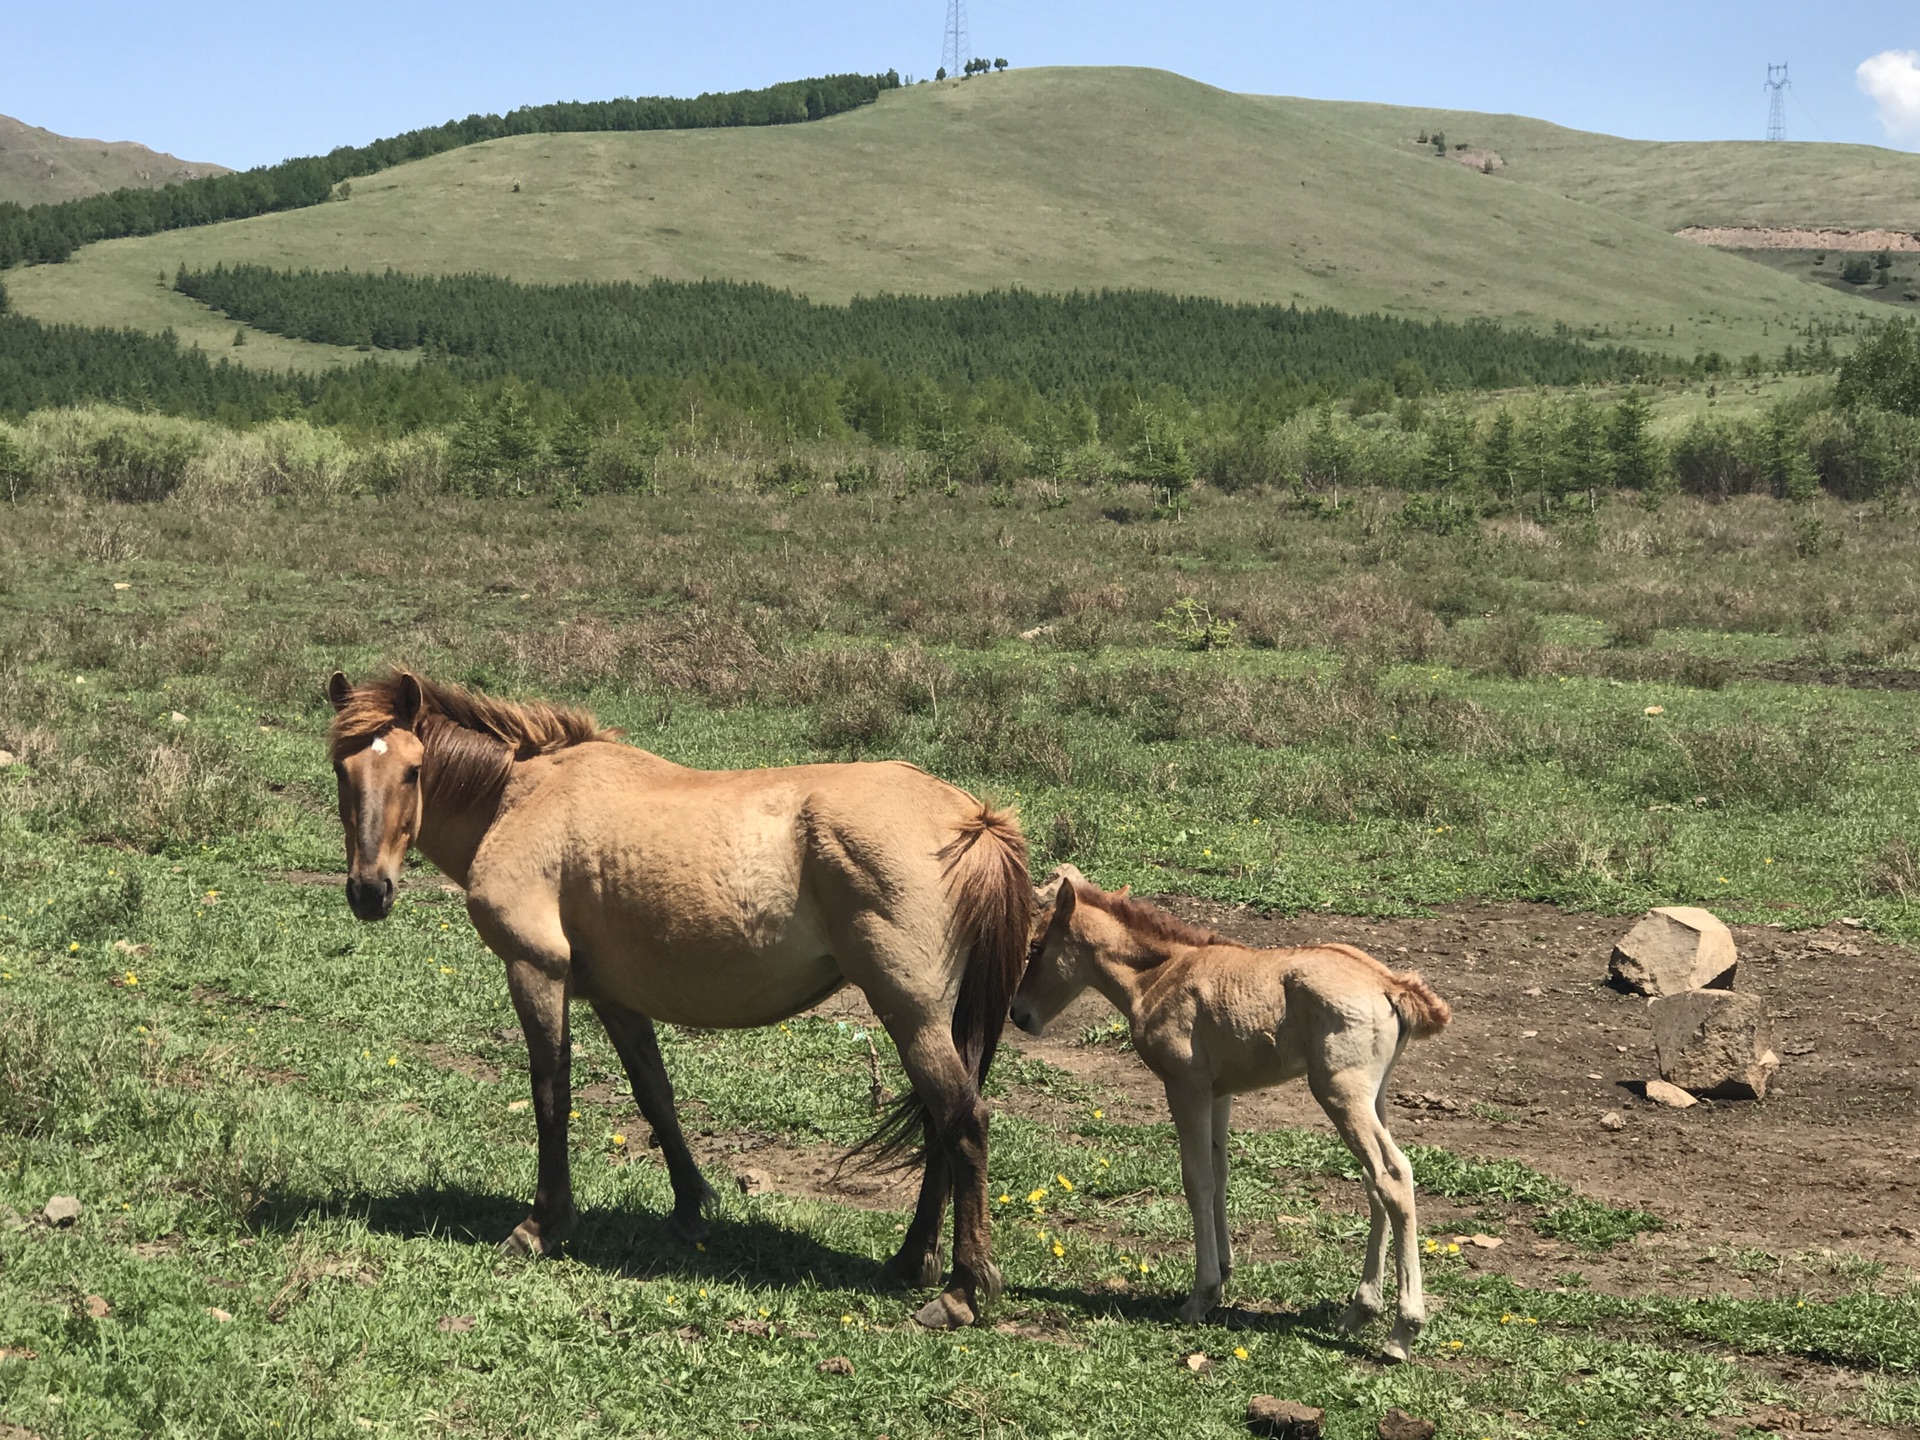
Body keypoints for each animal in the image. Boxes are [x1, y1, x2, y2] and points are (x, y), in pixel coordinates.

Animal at [326, 675, 1036, 1328]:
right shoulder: (613, 996)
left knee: (963, 1122)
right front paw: (692, 1209)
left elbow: (551, 1095)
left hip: (910, 1013)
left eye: (413, 770)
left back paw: (960, 1290)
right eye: (342, 768)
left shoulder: (536, 971)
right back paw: (911, 1260)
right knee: (941, 1127)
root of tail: (971, 820)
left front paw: (542, 1225)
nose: (368, 891)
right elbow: (655, 1095)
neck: (517, 798)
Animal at [1013, 867, 1443, 1367]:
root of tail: (1389, 984)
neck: (1159, 976)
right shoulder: (1220, 1094)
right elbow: (1220, 1174)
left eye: (1036, 947)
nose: (1018, 1014)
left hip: (1341, 1094)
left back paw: (1402, 1331)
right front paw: (1222, 1271)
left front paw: (1200, 1296)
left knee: (1392, 1175)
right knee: (1376, 1183)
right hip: (1374, 1098)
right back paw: (1359, 1311)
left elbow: (1196, 1179)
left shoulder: (1186, 1087)